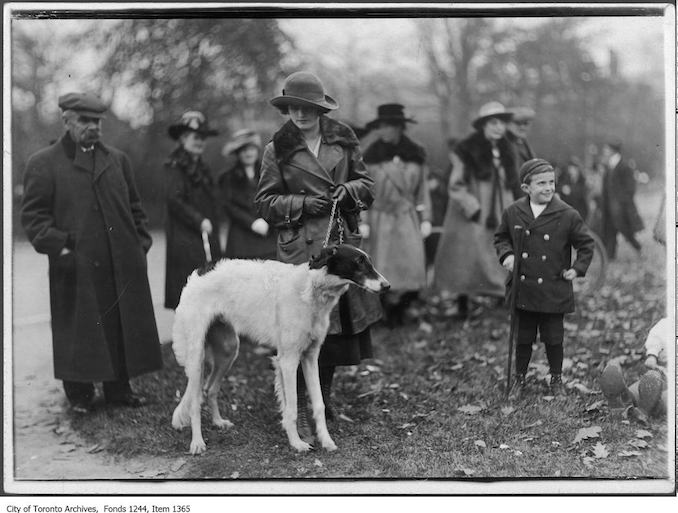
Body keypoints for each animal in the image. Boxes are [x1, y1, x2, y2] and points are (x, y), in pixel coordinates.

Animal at [173, 243, 390, 452]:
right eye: (359, 261)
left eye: (368, 260)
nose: (387, 286)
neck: (310, 288)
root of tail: (199, 272)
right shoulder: (288, 359)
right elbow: (291, 408)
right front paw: (297, 443)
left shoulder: (310, 357)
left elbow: (318, 404)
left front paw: (326, 441)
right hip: (196, 355)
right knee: (195, 401)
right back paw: (197, 443)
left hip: (228, 350)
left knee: (209, 389)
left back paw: (219, 422)